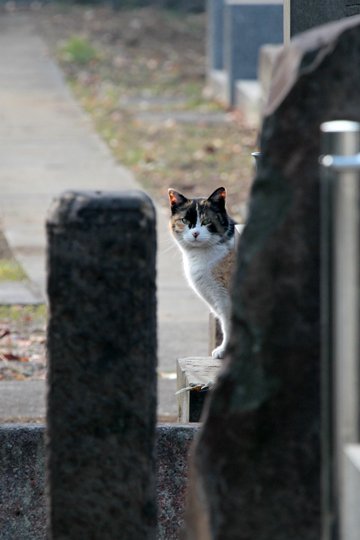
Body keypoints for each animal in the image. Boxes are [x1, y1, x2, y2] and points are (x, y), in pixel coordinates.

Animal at [169, 186, 236, 358]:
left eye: (207, 221)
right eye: (184, 221)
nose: (195, 233)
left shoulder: (225, 298)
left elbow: (227, 325)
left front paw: (224, 351)